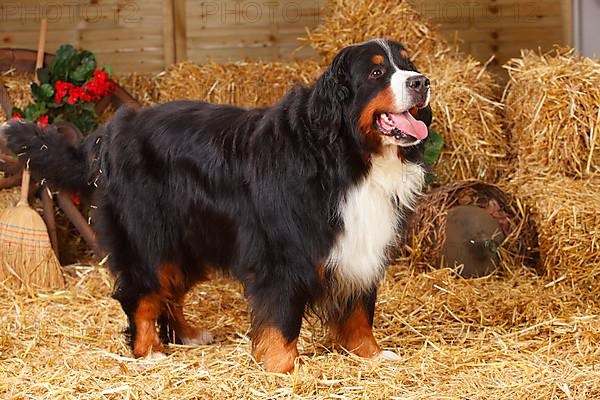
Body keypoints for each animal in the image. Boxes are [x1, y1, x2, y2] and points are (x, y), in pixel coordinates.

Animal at [1, 39, 432, 374]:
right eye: (376, 73)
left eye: (408, 64)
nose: (422, 82)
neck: (342, 153)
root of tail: (108, 133)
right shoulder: (283, 255)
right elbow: (282, 319)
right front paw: (282, 368)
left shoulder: (361, 244)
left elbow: (359, 311)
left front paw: (371, 355)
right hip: (150, 239)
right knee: (142, 295)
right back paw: (149, 352)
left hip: (188, 244)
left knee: (168, 293)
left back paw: (187, 335)